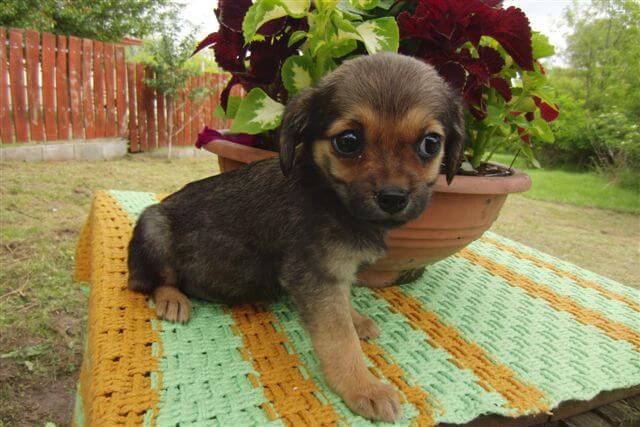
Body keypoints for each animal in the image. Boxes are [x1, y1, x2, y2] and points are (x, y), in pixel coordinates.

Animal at [127, 52, 464, 422]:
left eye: (430, 144)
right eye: (348, 142)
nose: (393, 198)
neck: (328, 194)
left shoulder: (334, 275)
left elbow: (344, 308)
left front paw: (356, 321)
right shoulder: (315, 276)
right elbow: (339, 340)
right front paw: (363, 388)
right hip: (154, 227)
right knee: (150, 281)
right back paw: (172, 300)